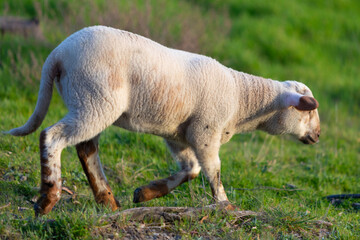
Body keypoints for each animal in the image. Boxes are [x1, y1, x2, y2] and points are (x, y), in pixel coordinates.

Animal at [7, 25, 320, 215]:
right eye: (308, 111)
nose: (317, 137)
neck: (242, 99)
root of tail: (58, 54)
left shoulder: (180, 135)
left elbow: (191, 169)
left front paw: (145, 194)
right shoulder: (205, 132)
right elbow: (213, 171)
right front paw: (225, 205)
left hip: (90, 103)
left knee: (86, 148)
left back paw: (107, 200)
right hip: (94, 100)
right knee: (52, 137)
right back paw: (47, 200)